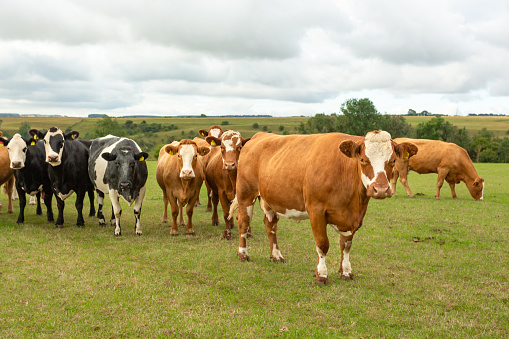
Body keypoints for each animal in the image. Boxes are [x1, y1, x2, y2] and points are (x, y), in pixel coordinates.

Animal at [229, 131, 416, 286]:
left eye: (392, 161)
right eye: (363, 159)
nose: (381, 190)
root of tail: (258, 136)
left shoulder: (353, 217)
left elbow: (346, 245)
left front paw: (346, 272)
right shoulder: (316, 210)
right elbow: (322, 244)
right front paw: (322, 275)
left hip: (271, 199)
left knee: (271, 225)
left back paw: (276, 255)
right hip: (246, 194)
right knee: (243, 222)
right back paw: (243, 254)